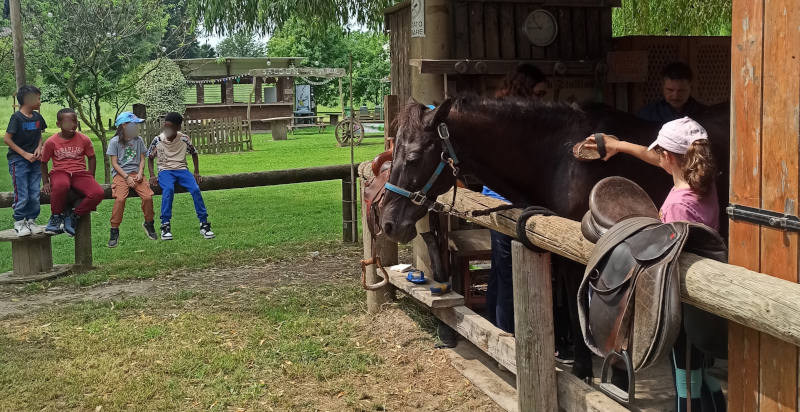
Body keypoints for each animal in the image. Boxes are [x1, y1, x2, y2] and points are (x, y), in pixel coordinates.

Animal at [378, 95, 730, 378]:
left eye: (412, 157)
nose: (388, 222)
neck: (559, 158)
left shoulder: (581, 254)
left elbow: (578, 305)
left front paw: (584, 369)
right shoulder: (561, 249)